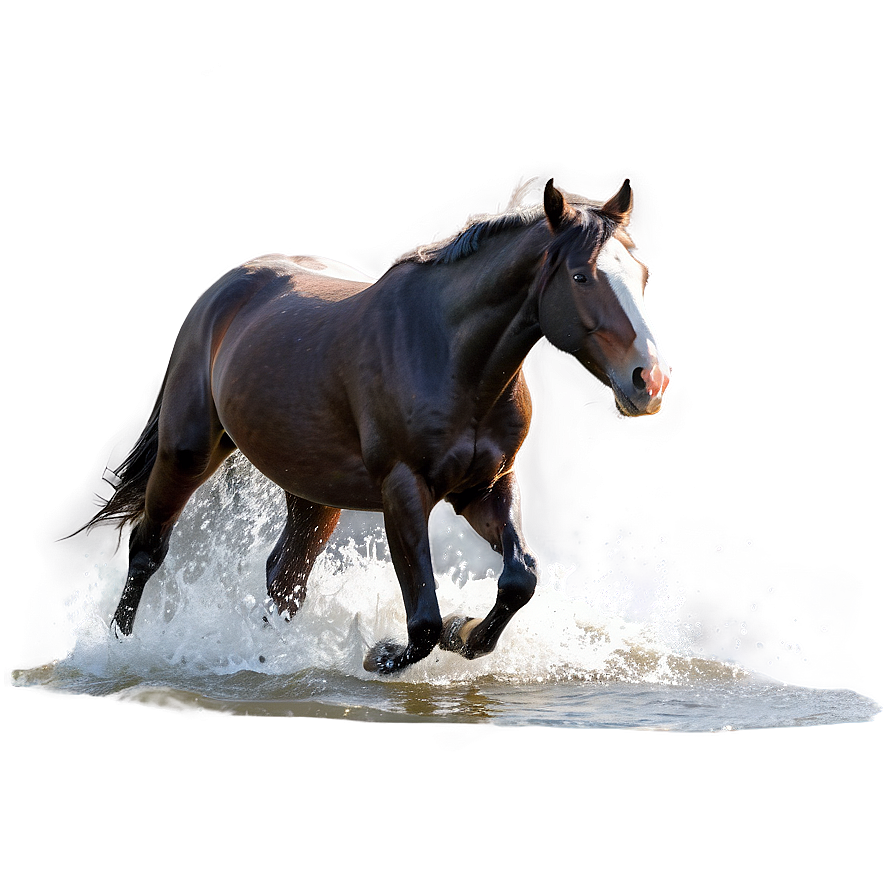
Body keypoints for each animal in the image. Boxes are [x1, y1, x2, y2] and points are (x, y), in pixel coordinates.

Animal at [84, 178, 672, 674]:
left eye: (644, 276)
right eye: (581, 276)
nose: (651, 380)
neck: (451, 355)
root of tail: (225, 288)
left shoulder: (485, 488)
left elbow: (518, 578)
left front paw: (467, 631)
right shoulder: (403, 490)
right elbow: (424, 620)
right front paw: (385, 653)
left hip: (313, 495)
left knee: (284, 579)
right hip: (187, 451)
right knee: (148, 550)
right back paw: (120, 650)